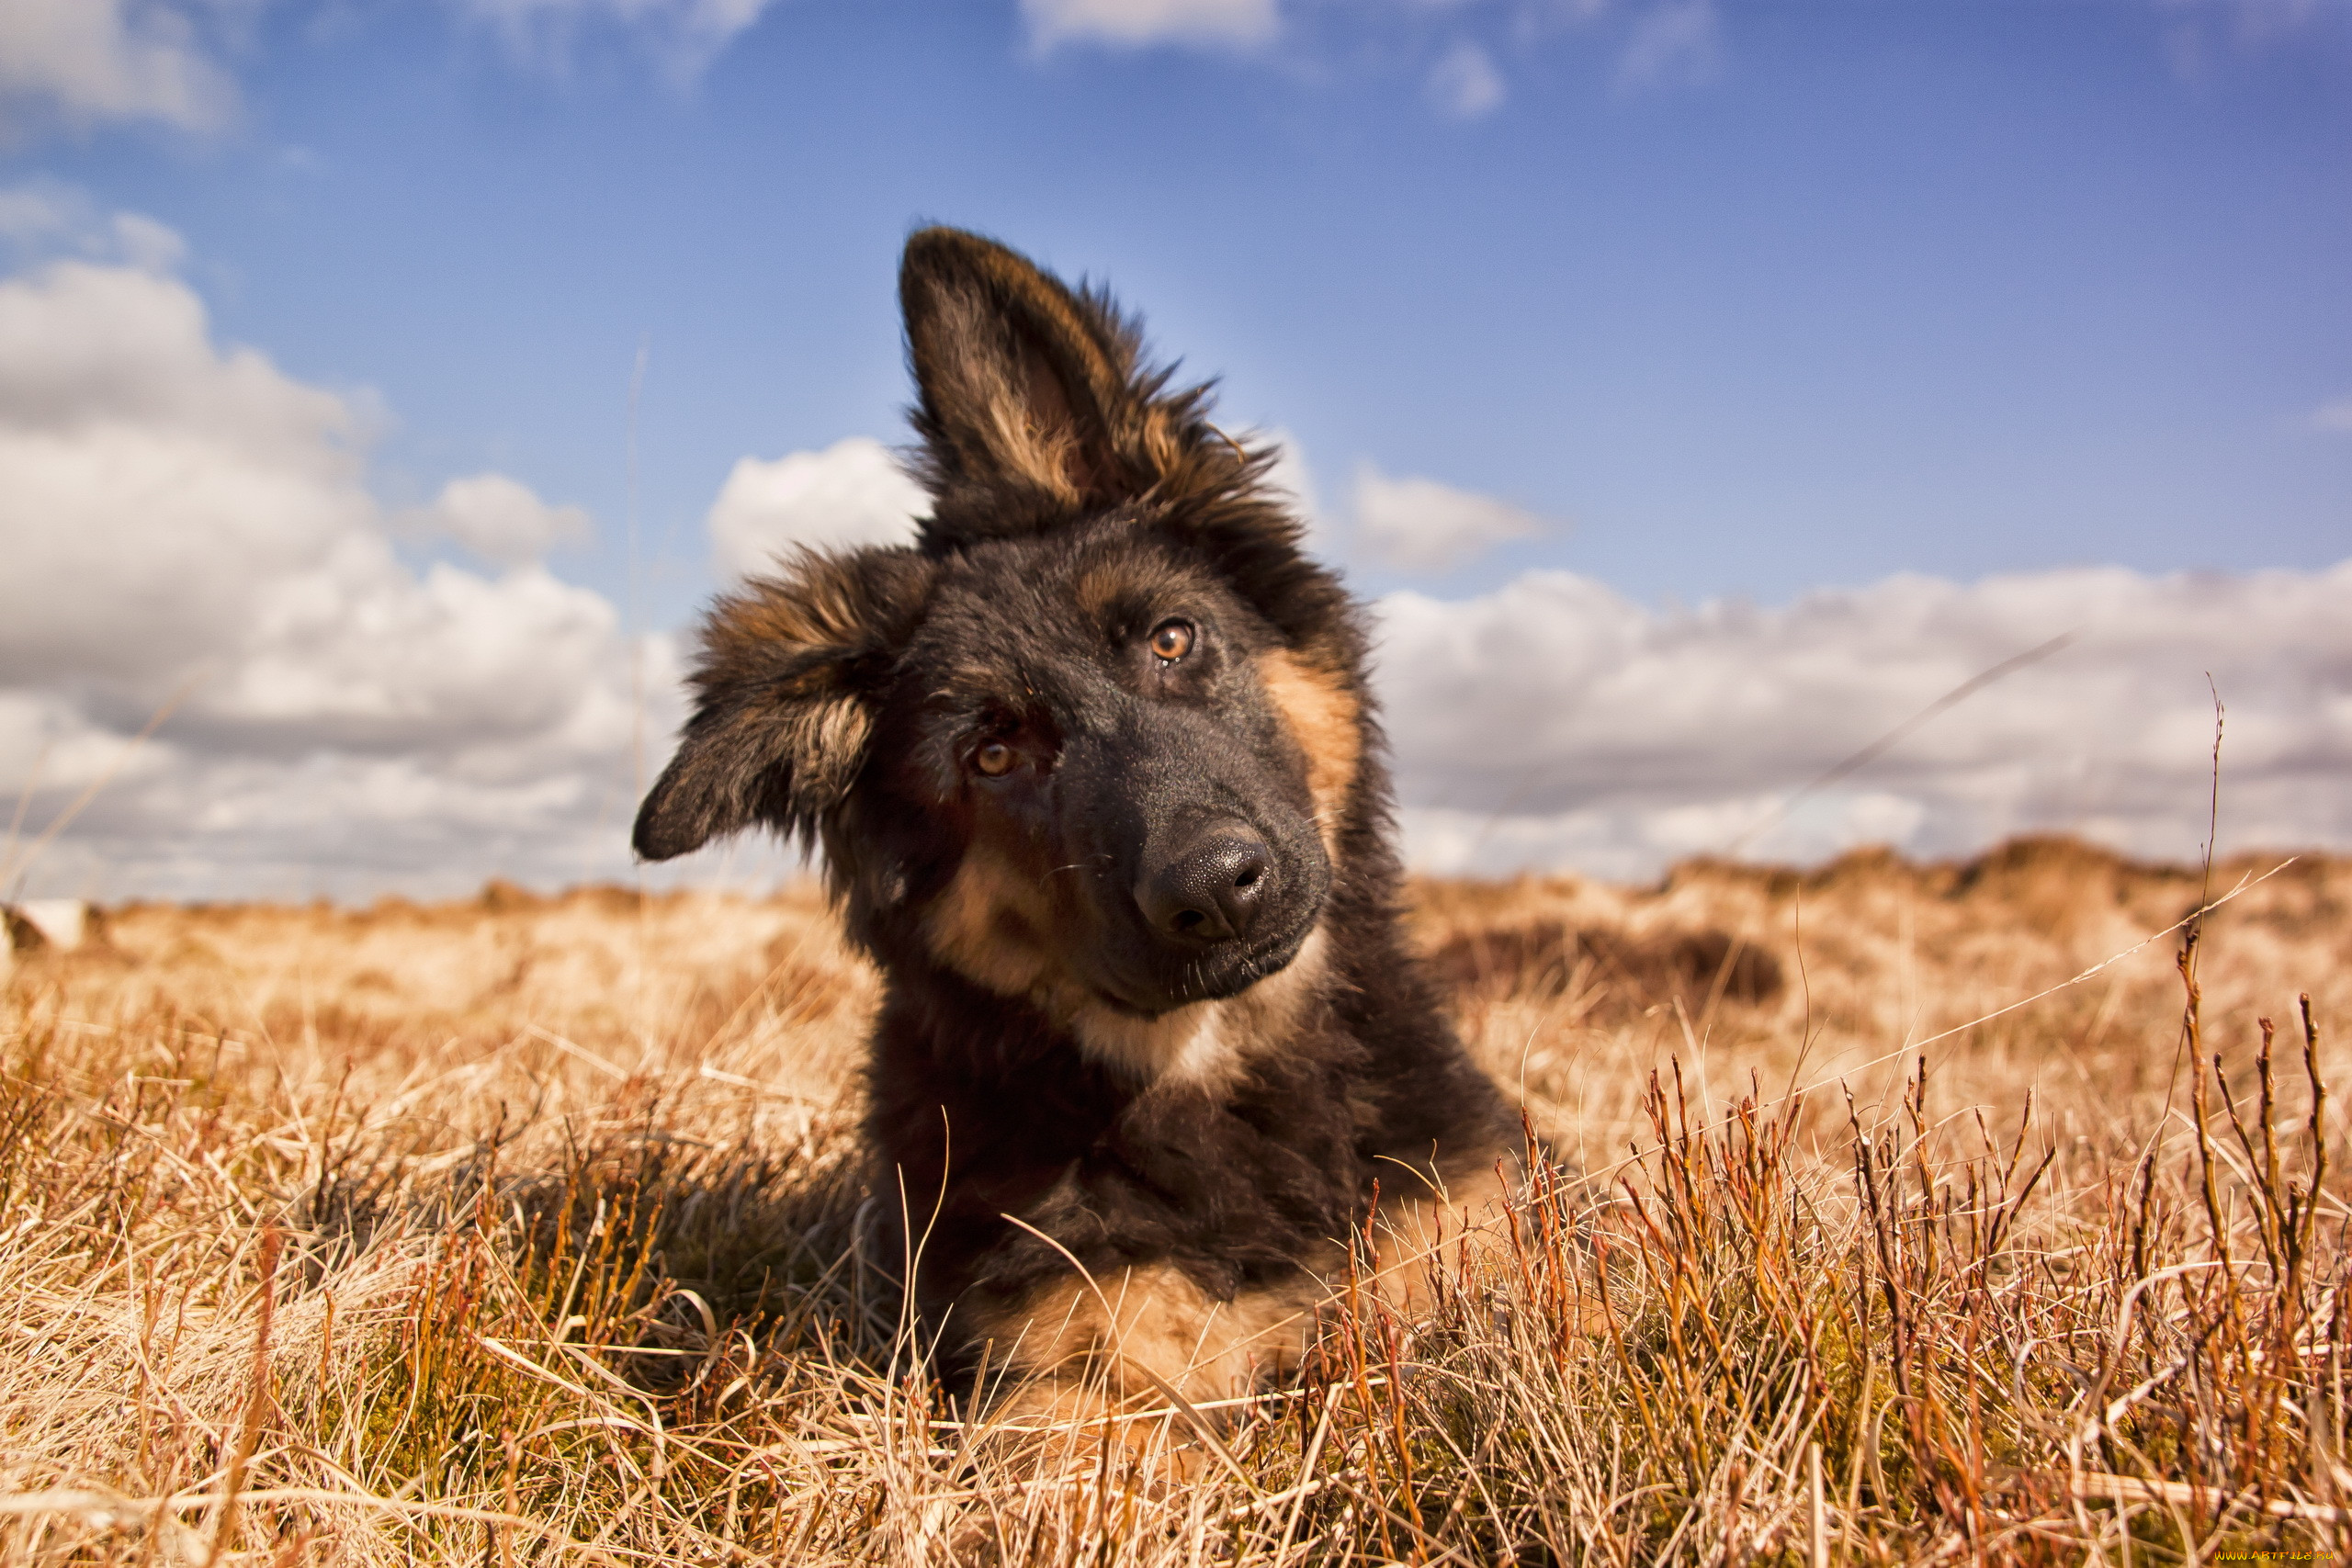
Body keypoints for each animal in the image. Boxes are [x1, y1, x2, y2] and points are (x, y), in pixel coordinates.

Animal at [635, 223, 1514, 1438]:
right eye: (992, 756)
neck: (1220, 1075)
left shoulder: (1472, 1223)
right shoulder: (1075, 1367)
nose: (1216, 887)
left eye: (1172, 639)